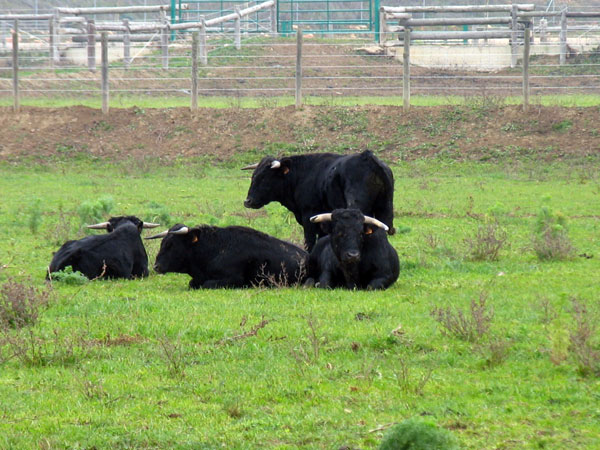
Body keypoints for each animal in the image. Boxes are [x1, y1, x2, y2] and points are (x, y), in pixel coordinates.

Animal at [144, 224, 304, 290]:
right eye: (163, 242)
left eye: (171, 244)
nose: (156, 266)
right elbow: (192, 283)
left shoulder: (234, 279)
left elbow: (206, 284)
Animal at [241, 149, 396, 251]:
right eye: (253, 175)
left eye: (263, 177)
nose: (247, 201)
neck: (301, 175)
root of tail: (367, 157)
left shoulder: (308, 216)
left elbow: (309, 241)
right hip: (385, 209)